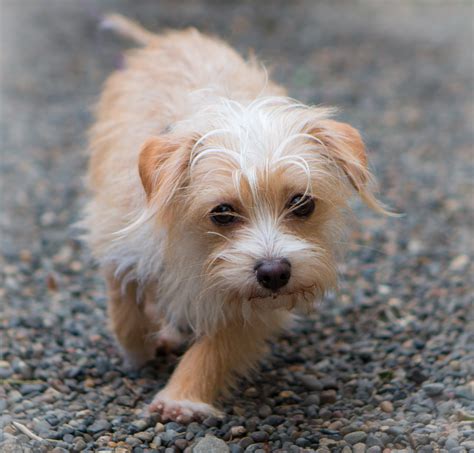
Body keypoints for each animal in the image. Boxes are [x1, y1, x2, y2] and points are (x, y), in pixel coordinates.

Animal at [80, 15, 388, 424]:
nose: (274, 272)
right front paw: (138, 348)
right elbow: (124, 307)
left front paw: (182, 397)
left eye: (302, 204)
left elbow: (216, 348)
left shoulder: (253, 303)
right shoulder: (119, 237)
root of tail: (168, 39)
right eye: (222, 213)